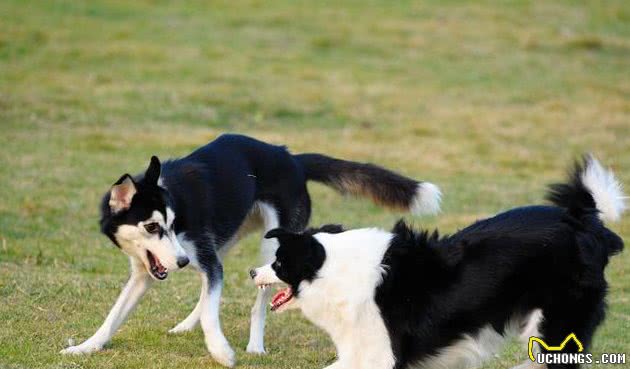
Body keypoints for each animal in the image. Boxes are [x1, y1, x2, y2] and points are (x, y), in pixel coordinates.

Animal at [61, 133, 442, 366]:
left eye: (171, 223)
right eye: (153, 227)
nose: (181, 262)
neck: (171, 194)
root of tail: (291, 158)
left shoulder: (203, 259)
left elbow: (213, 311)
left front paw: (221, 352)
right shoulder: (146, 272)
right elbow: (114, 316)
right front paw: (86, 346)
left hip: (272, 248)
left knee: (259, 301)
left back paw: (254, 345)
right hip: (229, 237)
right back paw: (187, 323)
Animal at [253, 155, 628, 368]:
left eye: (279, 263)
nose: (252, 271)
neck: (332, 268)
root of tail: (584, 221)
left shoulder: (381, 354)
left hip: (556, 323)